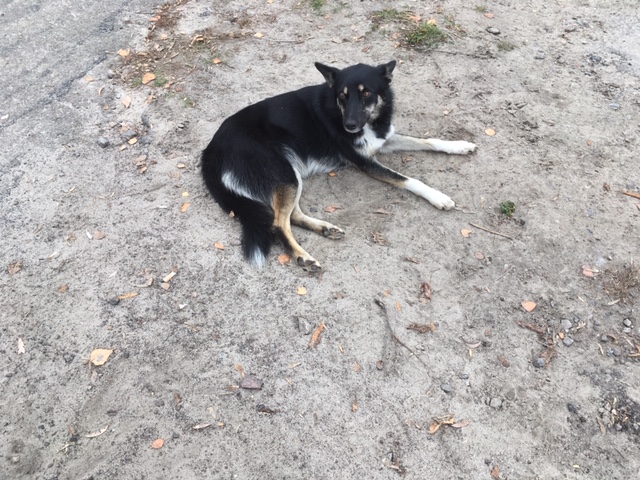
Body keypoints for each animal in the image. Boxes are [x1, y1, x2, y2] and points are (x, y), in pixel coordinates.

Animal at [201, 61, 476, 271]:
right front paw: (438, 197)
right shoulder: (366, 162)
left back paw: (325, 228)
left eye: (367, 93)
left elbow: (427, 140)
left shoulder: (384, 140)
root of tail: (211, 151)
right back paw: (303, 256)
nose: (350, 126)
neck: (370, 121)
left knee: (292, 215)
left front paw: (459, 145)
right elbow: (407, 179)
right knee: (278, 223)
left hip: (291, 174)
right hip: (284, 173)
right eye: (342, 96)